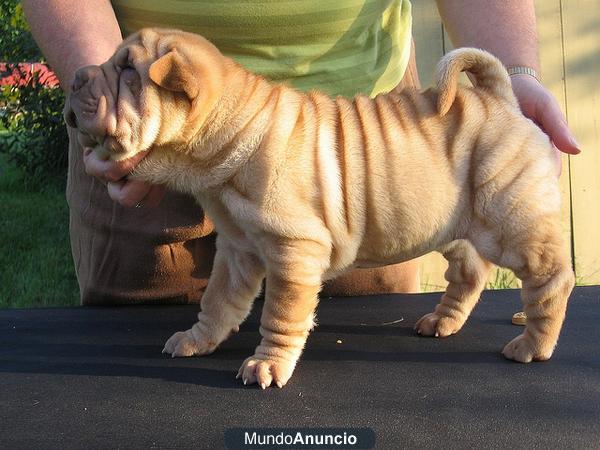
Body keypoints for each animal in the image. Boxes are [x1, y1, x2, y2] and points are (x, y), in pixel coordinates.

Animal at [63, 28, 576, 388]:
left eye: (128, 70)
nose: (75, 76)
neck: (231, 134)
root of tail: (501, 99)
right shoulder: (237, 249)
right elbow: (218, 300)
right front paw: (197, 339)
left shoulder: (294, 251)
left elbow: (280, 313)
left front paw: (267, 364)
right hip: (449, 225)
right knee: (470, 271)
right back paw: (442, 321)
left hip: (511, 222)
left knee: (551, 278)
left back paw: (532, 343)